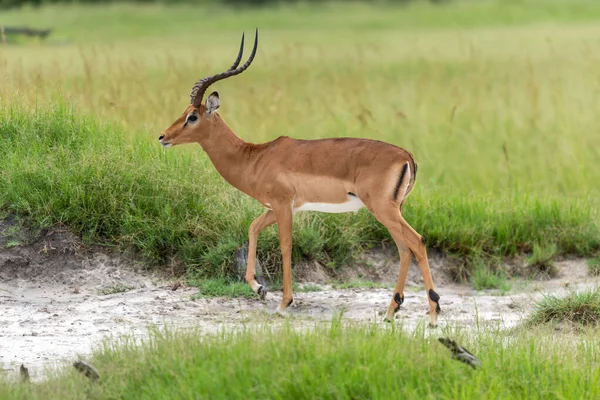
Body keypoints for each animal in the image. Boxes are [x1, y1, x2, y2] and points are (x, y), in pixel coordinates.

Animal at [159, 30, 440, 324]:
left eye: (192, 116)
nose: (162, 137)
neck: (254, 157)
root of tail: (406, 156)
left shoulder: (283, 205)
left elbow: (285, 245)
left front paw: (284, 303)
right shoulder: (278, 207)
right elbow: (253, 227)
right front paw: (259, 288)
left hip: (384, 209)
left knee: (416, 242)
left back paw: (432, 313)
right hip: (392, 211)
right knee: (404, 248)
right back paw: (391, 310)